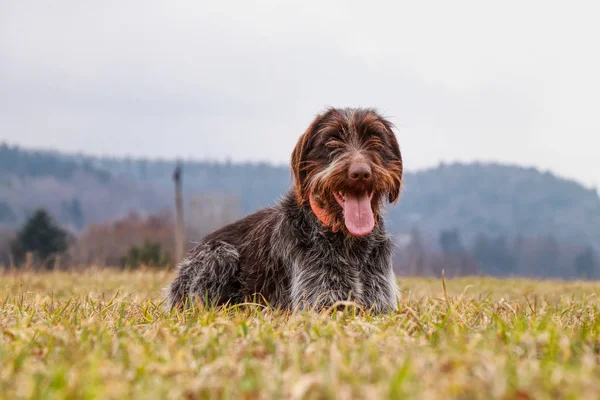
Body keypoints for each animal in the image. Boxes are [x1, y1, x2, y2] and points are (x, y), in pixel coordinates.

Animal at [165, 108, 404, 314]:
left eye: (375, 140)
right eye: (331, 141)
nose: (360, 173)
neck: (348, 241)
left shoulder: (380, 303)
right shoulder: (319, 302)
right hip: (220, 254)